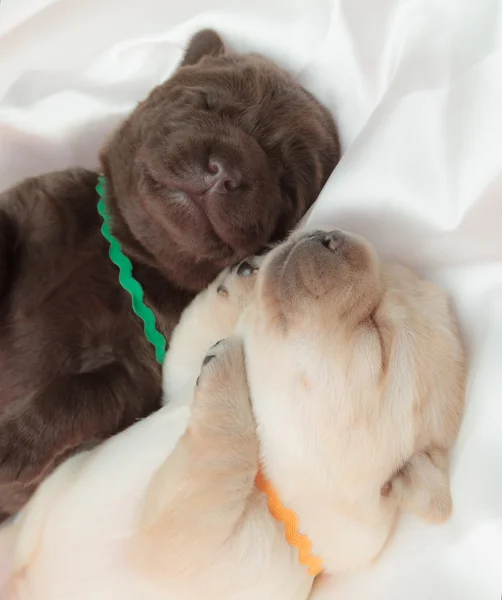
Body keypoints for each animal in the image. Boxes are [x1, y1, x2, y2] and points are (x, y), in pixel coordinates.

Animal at [0, 28, 342, 516]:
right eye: (204, 103)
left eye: (287, 182)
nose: (225, 172)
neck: (130, 256)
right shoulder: (34, 207)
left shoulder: (137, 374)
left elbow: (77, 395)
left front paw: (11, 444)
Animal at [0, 230, 464, 600]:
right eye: (386, 268)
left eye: (377, 336)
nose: (330, 236)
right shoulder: (178, 384)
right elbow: (192, 343)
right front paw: (243, 280)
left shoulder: (204, 551)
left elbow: (216, 472)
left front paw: (226, 370)